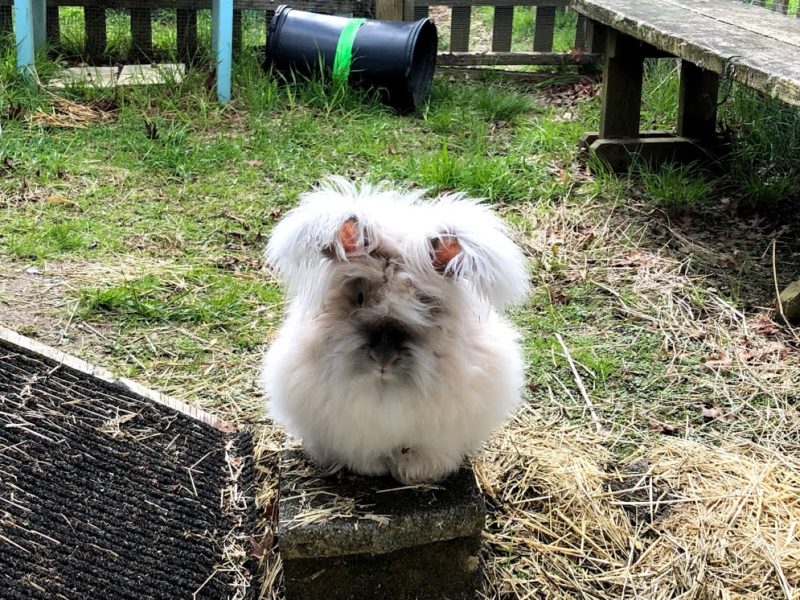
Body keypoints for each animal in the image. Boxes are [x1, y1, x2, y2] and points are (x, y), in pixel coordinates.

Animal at [261, 177, 529, 484]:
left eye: (424, 302)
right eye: (360, 297)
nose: (383, 360)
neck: (385, 388)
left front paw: (418, 472)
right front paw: (371, 468)